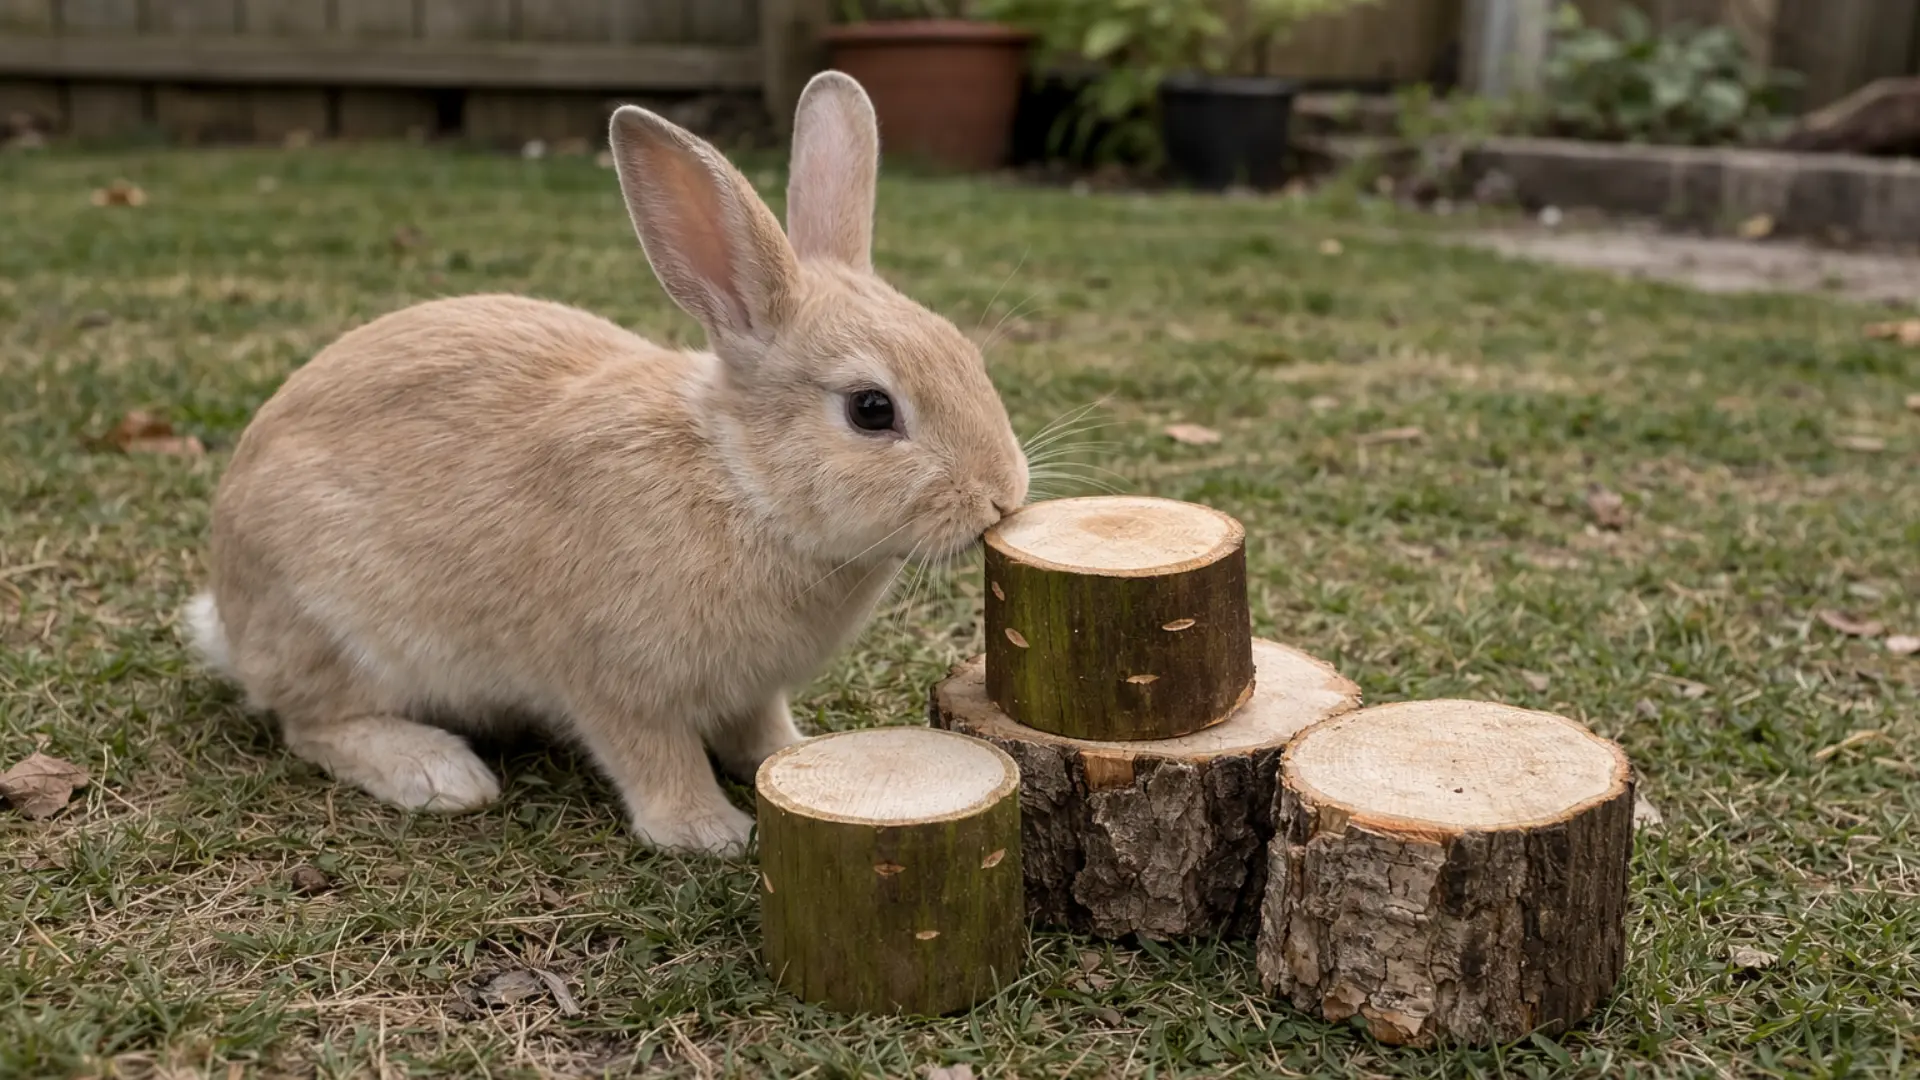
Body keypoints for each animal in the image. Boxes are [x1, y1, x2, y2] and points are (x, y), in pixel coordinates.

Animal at [181, 71, 1030, 855]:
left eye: (963, 352)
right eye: (871, 409)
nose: (1002, 498)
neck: (739, 483)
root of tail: (231, 616)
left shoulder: (751, 690)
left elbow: (760, 731)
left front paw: (797, 756)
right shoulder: (614, 679)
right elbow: (653, 755)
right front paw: (708, 832)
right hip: (333, 627)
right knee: (311, 722)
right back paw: (437, 772)